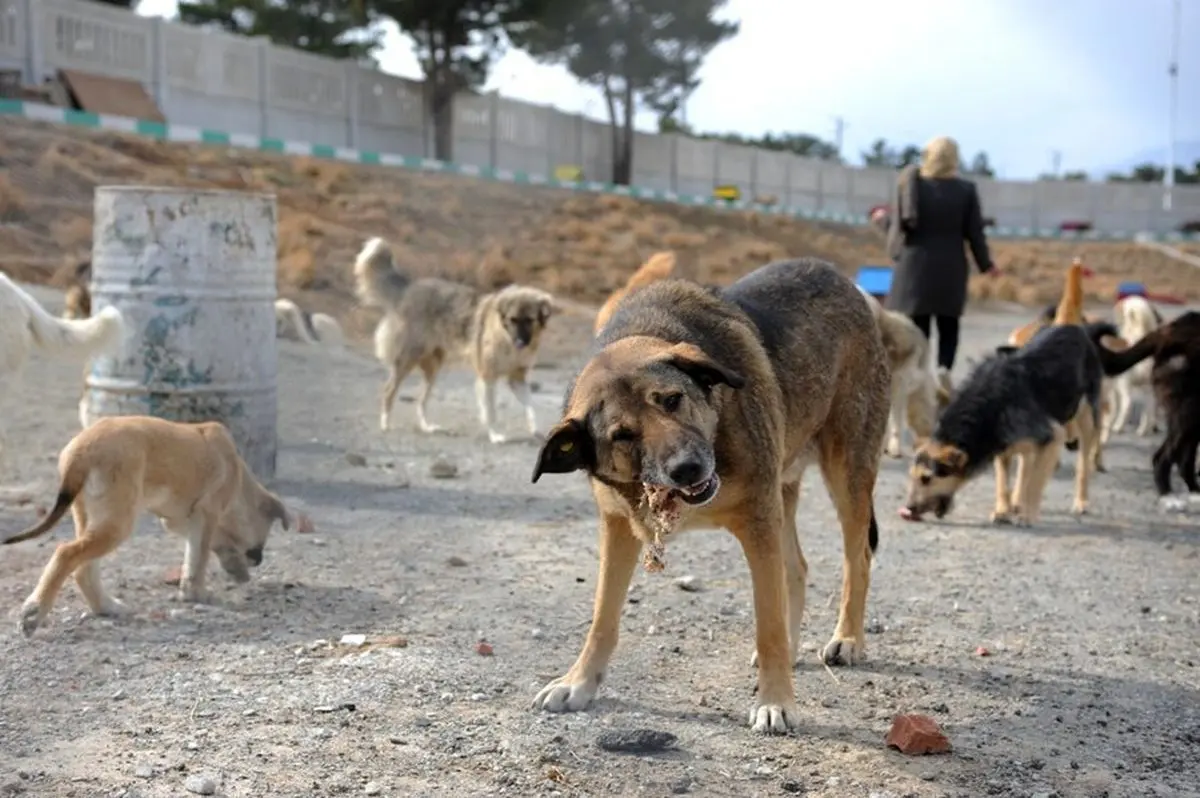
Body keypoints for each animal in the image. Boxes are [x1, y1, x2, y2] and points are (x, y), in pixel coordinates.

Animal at [3, 417, 294, 633]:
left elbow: (196, 554)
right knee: (66, 554)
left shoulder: (179, 521)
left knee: (83, 568)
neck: (239, 476)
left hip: (91, 518)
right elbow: (198, 560)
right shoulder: (207, 515)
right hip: (116, 523)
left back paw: (106, 607)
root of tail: (82, 450)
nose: (258, 560)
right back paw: (34, 612)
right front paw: (198, 594)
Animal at [1104, 295, 1161, 439]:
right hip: (1148, 388)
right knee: (1149, 409)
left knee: (1127, 404)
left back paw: (1118, 427)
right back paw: (1143, 430)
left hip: (1123, 383)